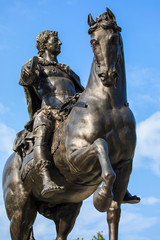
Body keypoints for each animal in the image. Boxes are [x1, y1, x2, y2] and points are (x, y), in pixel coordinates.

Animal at [2, 8, 136, 240]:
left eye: (113, 38)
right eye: (93, 41)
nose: (107, 75)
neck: (109, 106)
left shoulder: (125, 164)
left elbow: (113, 211)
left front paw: (107, 200)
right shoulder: (75, 160)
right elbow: (101, 145)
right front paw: (100, 197)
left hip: (68, 210)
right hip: (20, 213)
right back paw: (49, 184)